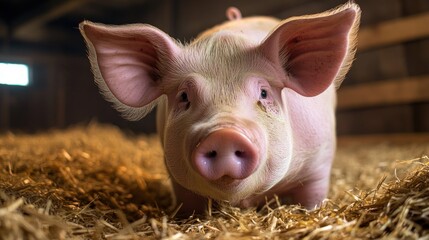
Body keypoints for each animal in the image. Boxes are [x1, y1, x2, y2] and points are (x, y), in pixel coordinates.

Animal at [78, 1, 360, 215]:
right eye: (184, 96)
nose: (224, 134)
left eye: (264, 93)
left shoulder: (319, 163)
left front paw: (310, 212)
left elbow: (312, 198)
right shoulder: (176, 177)